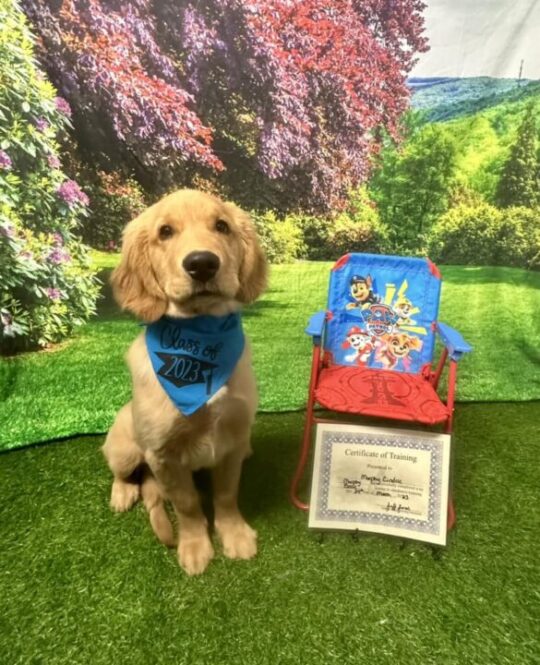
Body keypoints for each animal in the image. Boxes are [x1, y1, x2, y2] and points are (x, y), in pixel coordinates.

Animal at [100, 189, 266, 572]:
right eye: (165, 232)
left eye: (221, 226)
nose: (202, 263)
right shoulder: (163, 456)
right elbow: (187, 504)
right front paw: (194, 546)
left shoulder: (233, 438)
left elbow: (226, 494)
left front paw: (234, 535)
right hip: (125, 447)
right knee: (122, 470)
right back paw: (122, 492)